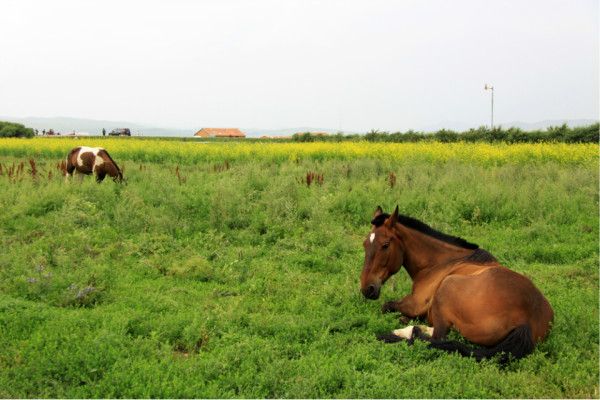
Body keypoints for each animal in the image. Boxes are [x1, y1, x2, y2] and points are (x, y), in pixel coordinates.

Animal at [360, 208, 552, 364]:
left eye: (385, 245)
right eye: (365, 244)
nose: (367, 289)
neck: (438, 263)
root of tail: (527, 322)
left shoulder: (414, 304)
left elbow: (387, 306)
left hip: (447, 285)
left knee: (437, 336)